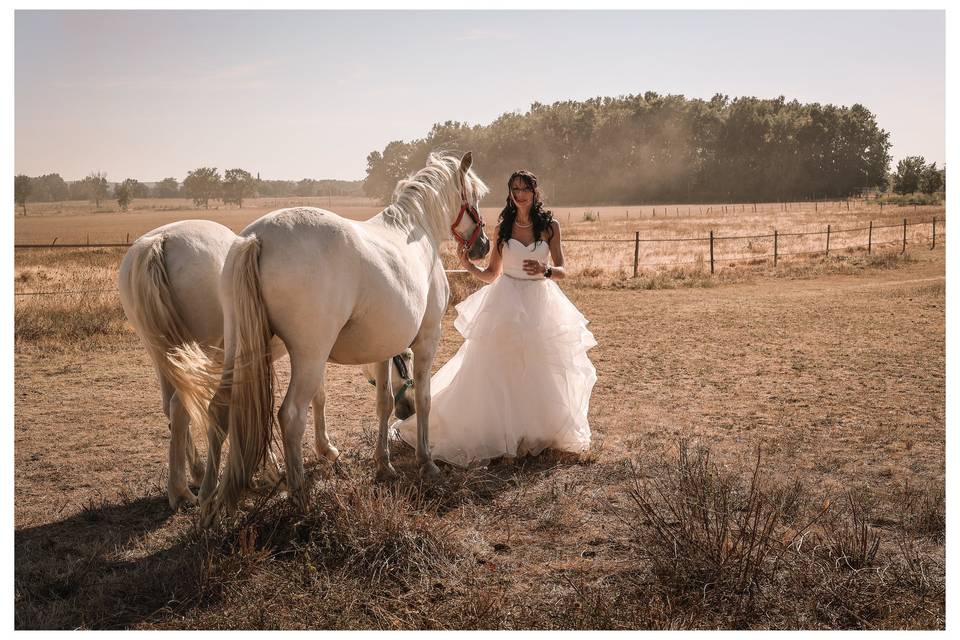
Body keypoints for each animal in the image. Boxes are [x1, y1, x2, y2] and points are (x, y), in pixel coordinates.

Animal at [116, 220, 416, 510]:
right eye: (407, 356)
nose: (408, 409)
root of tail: (160, 241)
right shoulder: (311, 352)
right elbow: (318, 398)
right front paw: (325, 449)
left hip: (167, 358)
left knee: (173, 407)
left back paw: (197, 475)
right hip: (203, 355)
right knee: (181, 406)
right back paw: (184, 491)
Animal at [188, 151, 492, 520]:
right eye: (474, 197)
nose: (482, 246)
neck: (418, 233)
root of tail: (258, 237)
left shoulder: (382, 347)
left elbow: (383, 402)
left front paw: (384, 464)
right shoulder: (427, 339)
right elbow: (424, 398)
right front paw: (426, 462)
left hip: (239, 347)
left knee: (219, 407)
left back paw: (208, 499)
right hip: (309, 356)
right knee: (290, 416)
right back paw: (300, 496)